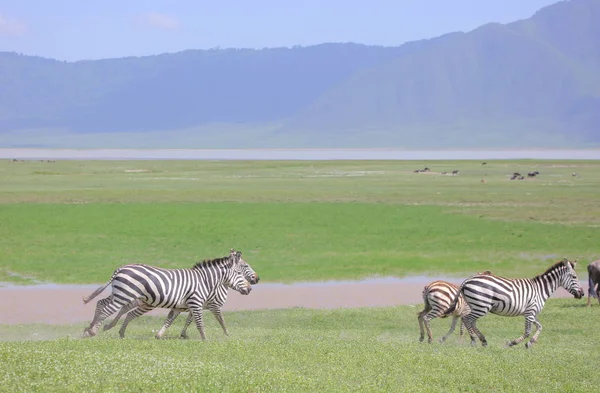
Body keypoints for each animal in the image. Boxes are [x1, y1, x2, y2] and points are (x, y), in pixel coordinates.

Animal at [81, 250, 251, 338]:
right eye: (239, 272)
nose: (250, 288)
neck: (205, 281)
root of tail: (121, 268)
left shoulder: (182, 306)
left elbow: (170, 321)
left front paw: (160, 336)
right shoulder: (197, 303)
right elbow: (203, 322)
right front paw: (207, 340)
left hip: (120, 293)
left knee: (101, 303)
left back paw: (91, 329)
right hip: (124, 294)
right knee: (107, 308)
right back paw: (93, 331)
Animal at [442, 258, 584, 348]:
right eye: (574, 277)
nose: (582, 294)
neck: (540, 289)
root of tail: (468, 280)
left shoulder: (532, 313)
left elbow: (540, 327)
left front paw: (530, 342)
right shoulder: (530, 312)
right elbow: (527, 331)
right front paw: (512, 343)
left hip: (476, 305)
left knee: (470, 321)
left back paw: (483, 340)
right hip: (482, 305)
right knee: (467, 319)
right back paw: (474, 340)